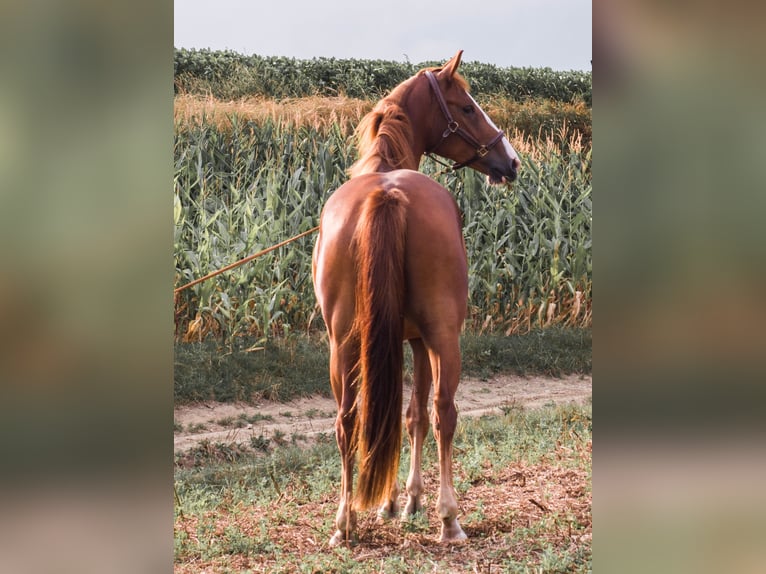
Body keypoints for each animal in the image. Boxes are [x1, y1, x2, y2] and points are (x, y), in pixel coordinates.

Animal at [312, 50, 520, 548]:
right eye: (466, 107)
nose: (511, 161)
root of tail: (388, 193)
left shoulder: (395, 339)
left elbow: (395, 413)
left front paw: (388, 502)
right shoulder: (421, 340)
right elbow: (417, 415)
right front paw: (408, 501)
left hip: (342, 342)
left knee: (348, 419)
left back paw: (343, 523)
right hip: (443, 336)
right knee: (444, 412)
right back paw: (450, 519)